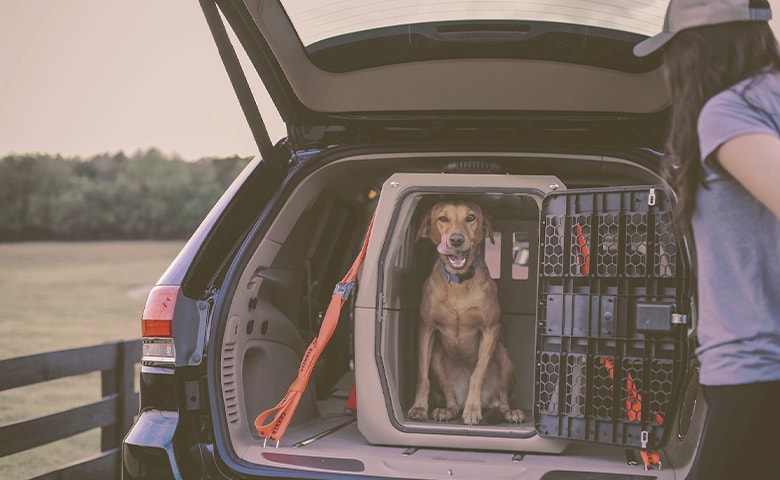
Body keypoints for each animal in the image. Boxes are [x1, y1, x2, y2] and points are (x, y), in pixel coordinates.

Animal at [408, 201, 524, 426]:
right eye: (442, 219)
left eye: (470, 218)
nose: (456, 240)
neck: (459, 283)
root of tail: (489, 402)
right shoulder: (426, 328)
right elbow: (421, 375)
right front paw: (419, 407)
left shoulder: (490, 330)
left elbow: (477, 374)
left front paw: (472, 410)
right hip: (438, 359)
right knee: (451, 400)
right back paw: (446, 410)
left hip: (503, 357)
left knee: (503, 401)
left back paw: (510, 412)